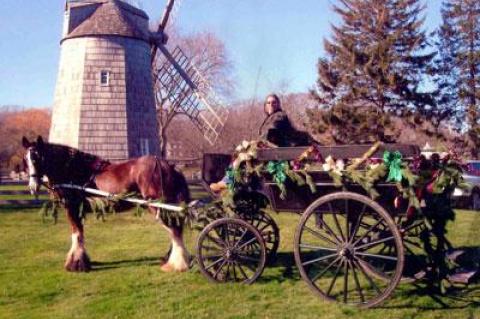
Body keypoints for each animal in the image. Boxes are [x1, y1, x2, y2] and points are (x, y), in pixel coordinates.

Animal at [22, 136, 191, 274]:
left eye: (37, 158)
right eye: (26, 160)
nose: (33, 186)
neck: (72, 170)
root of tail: (168, 166)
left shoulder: (72, 208)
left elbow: (76, 234)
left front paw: (75, 264)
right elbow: (80, 234)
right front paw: (81, 262)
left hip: (158, 206)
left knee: (174, 231)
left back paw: (177, 264)